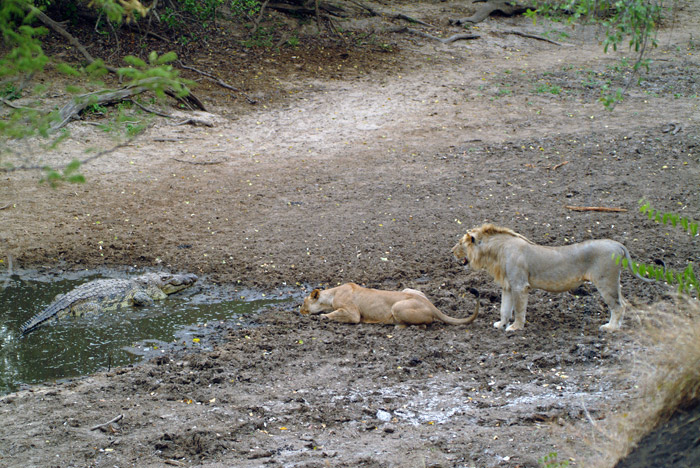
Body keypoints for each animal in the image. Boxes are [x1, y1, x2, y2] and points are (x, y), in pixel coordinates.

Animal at [452, 224, 652, 330]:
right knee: (624, 303)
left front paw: (515, 328)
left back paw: (610, 328)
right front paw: (501, 324)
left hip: (605, 281)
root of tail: (618, 244)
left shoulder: (519, 285)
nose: (451, 251)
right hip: (613, 282)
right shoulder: (508, 286)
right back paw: (618, 327)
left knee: (618, 306)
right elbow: (504, 308)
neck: (494, 253)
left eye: (460, 243)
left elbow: (519, 310)